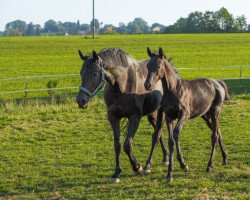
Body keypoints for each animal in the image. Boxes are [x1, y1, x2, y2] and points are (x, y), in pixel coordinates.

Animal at [76, 48, 168, 183]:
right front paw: (117, 172)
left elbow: (127, 145)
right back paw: (165, 157)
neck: (121, 83)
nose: (80, 101)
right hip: (151, 114)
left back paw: (151, 165)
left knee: (158, 133)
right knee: (159, 133)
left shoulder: (135, 117)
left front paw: (137, 167)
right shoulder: (113, 117)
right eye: (81, 73)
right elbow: (118, 145)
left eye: (94, 73)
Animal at [144, 46, 229, 183]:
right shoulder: (169, 117)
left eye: (158, 66)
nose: (147, 85)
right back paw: (225, 158)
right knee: (218, 132)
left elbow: (176, 133)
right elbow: (171, 141)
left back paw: (209, 166)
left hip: (216, 112)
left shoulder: (184, 115)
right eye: (147, 66)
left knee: (214, 136)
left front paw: (180, 166)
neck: (173, 90)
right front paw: (171, 172)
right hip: (206, 115)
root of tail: (217, 83)